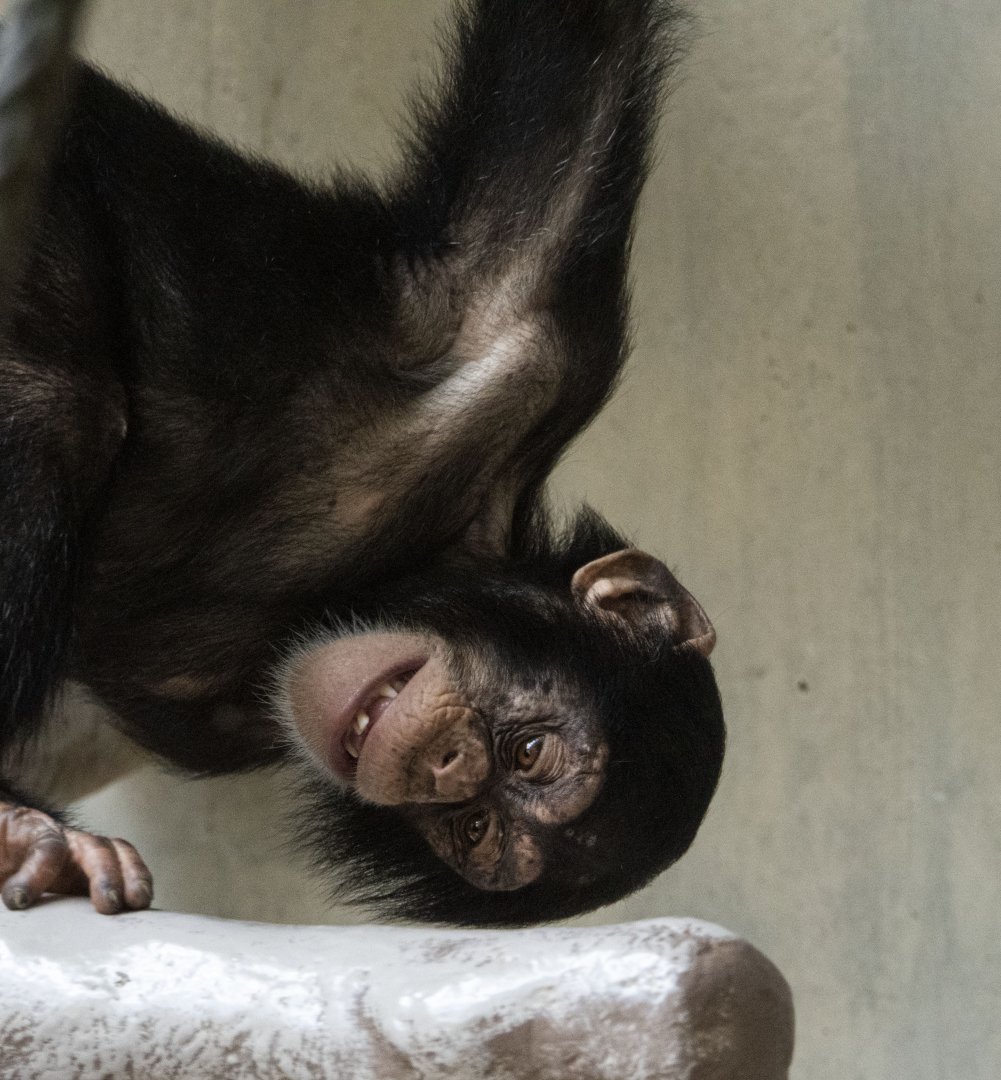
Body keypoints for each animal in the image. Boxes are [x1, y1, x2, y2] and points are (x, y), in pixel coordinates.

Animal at [0, 0, 725, 926]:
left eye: (472, 829)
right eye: (528, 750)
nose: (448, 765)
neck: (369, 582)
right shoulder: (524, 327)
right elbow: (582, 49)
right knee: (59, 397)